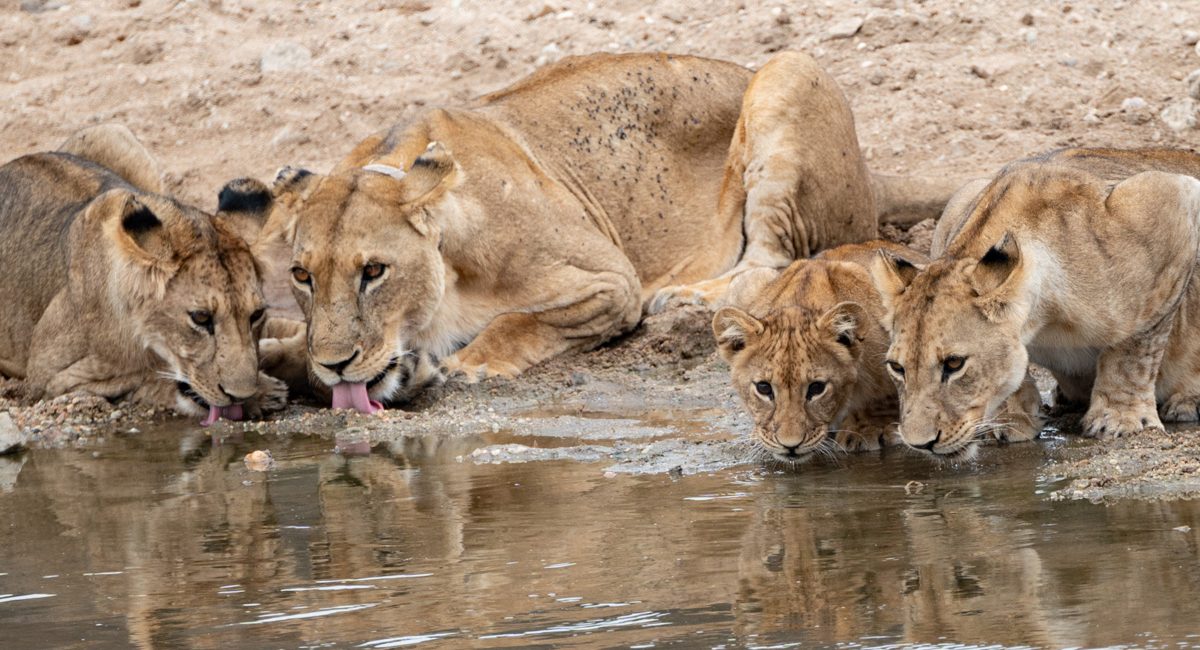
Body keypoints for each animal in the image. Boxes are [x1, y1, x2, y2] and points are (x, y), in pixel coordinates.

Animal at [0, 124, 285, 423]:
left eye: (256, 314)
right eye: (201, 318)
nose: (241, 395)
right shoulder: (47, 376)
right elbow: (141, 378)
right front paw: (267, 392)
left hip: (111, 131)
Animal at [255, 51, 958, 412]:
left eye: (374, 271)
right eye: (302, 276)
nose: (337, 362)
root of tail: (870, 171)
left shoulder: (609, 282)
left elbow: (519, 322)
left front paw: (471, 363)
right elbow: (282, 350)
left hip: (787, 72)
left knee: (771, 261)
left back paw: (686, 297)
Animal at [873, 147, 1200, 458]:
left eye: (954, 363)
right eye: (896, 367)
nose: (920, 444)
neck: (1044, 318)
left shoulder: (1171, 196)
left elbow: (1136, 348)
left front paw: (1119, 419)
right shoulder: (959, 202)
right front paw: (1010, 417)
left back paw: (1188, 401)